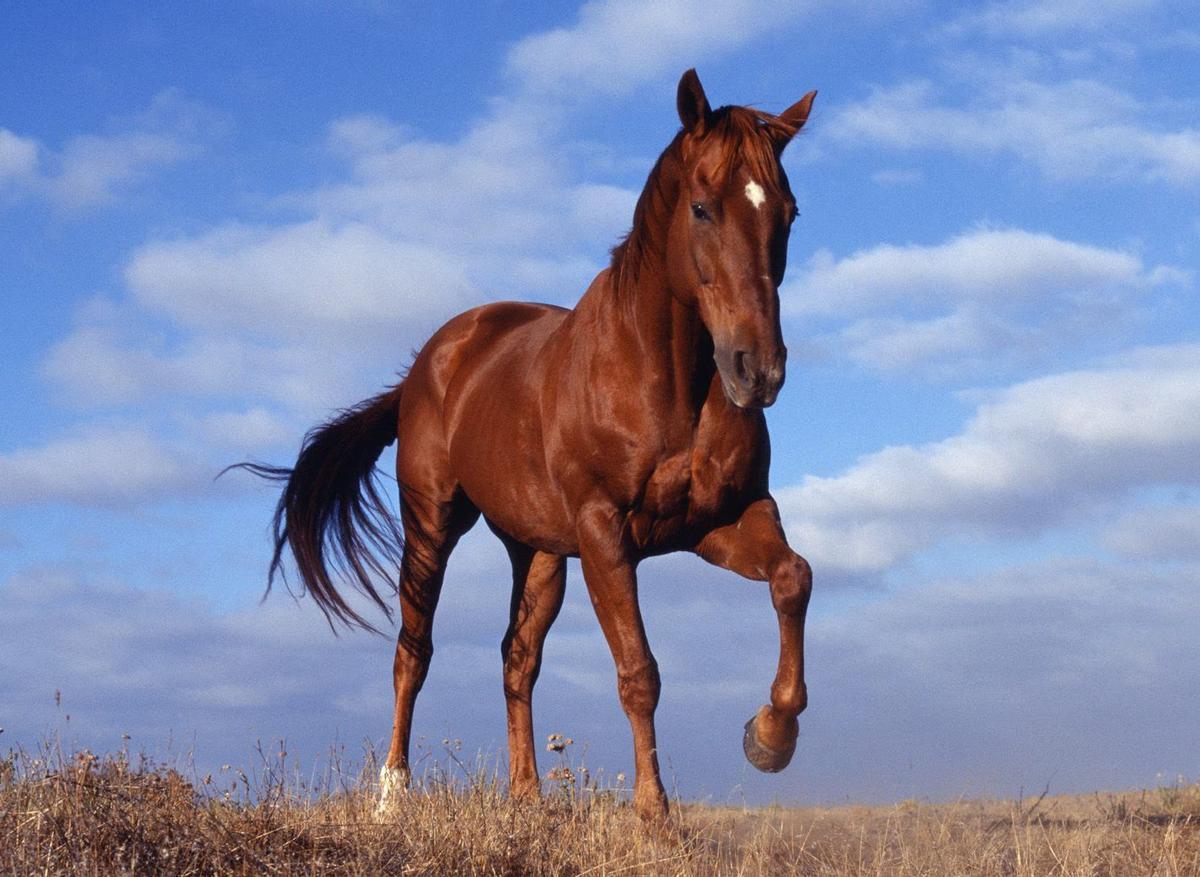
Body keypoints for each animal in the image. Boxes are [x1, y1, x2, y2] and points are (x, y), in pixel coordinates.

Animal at [239, 69, 816, 822]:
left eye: (789, 213)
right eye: (701, 207)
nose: (759, 370)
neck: (662, 379)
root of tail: (428, 364)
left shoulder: (721, 521)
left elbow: (793, 578)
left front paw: (770, 736)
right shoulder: (606, 534)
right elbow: (639, 672)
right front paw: (654, 817)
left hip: (537, 551)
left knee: (517, 658)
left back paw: (526, 799)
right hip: (432, 525)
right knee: (413, 652)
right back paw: (392, 795)